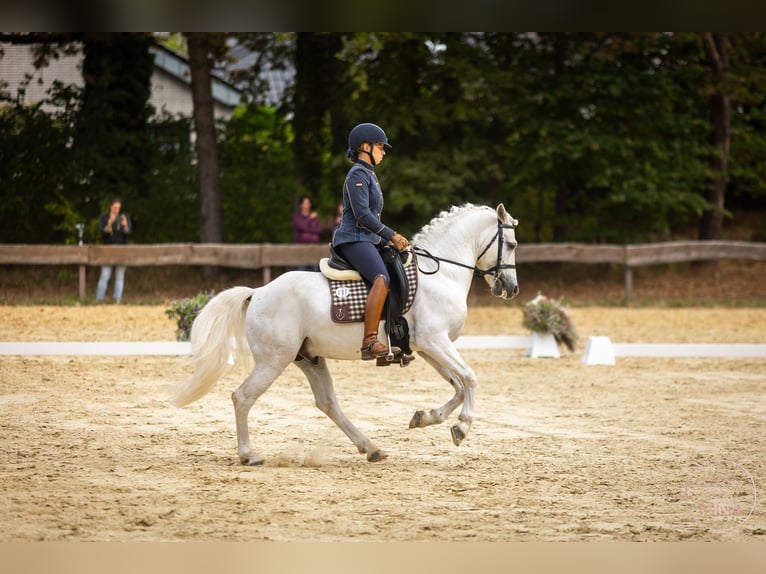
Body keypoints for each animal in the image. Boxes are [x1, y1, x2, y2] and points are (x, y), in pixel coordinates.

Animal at [171, 203, 520, 465]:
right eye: (512, 245)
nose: (512, 289)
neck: (442, 273)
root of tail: (257, 293)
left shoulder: (427, 346)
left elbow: (459, 386)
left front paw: (424, 417)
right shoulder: (435, 341)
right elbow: (470, 378)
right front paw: (461, 427)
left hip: (309, 358)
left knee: (327, 403)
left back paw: (371, 448)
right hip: (274, 360)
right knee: (242, 397)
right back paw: (249, 455)